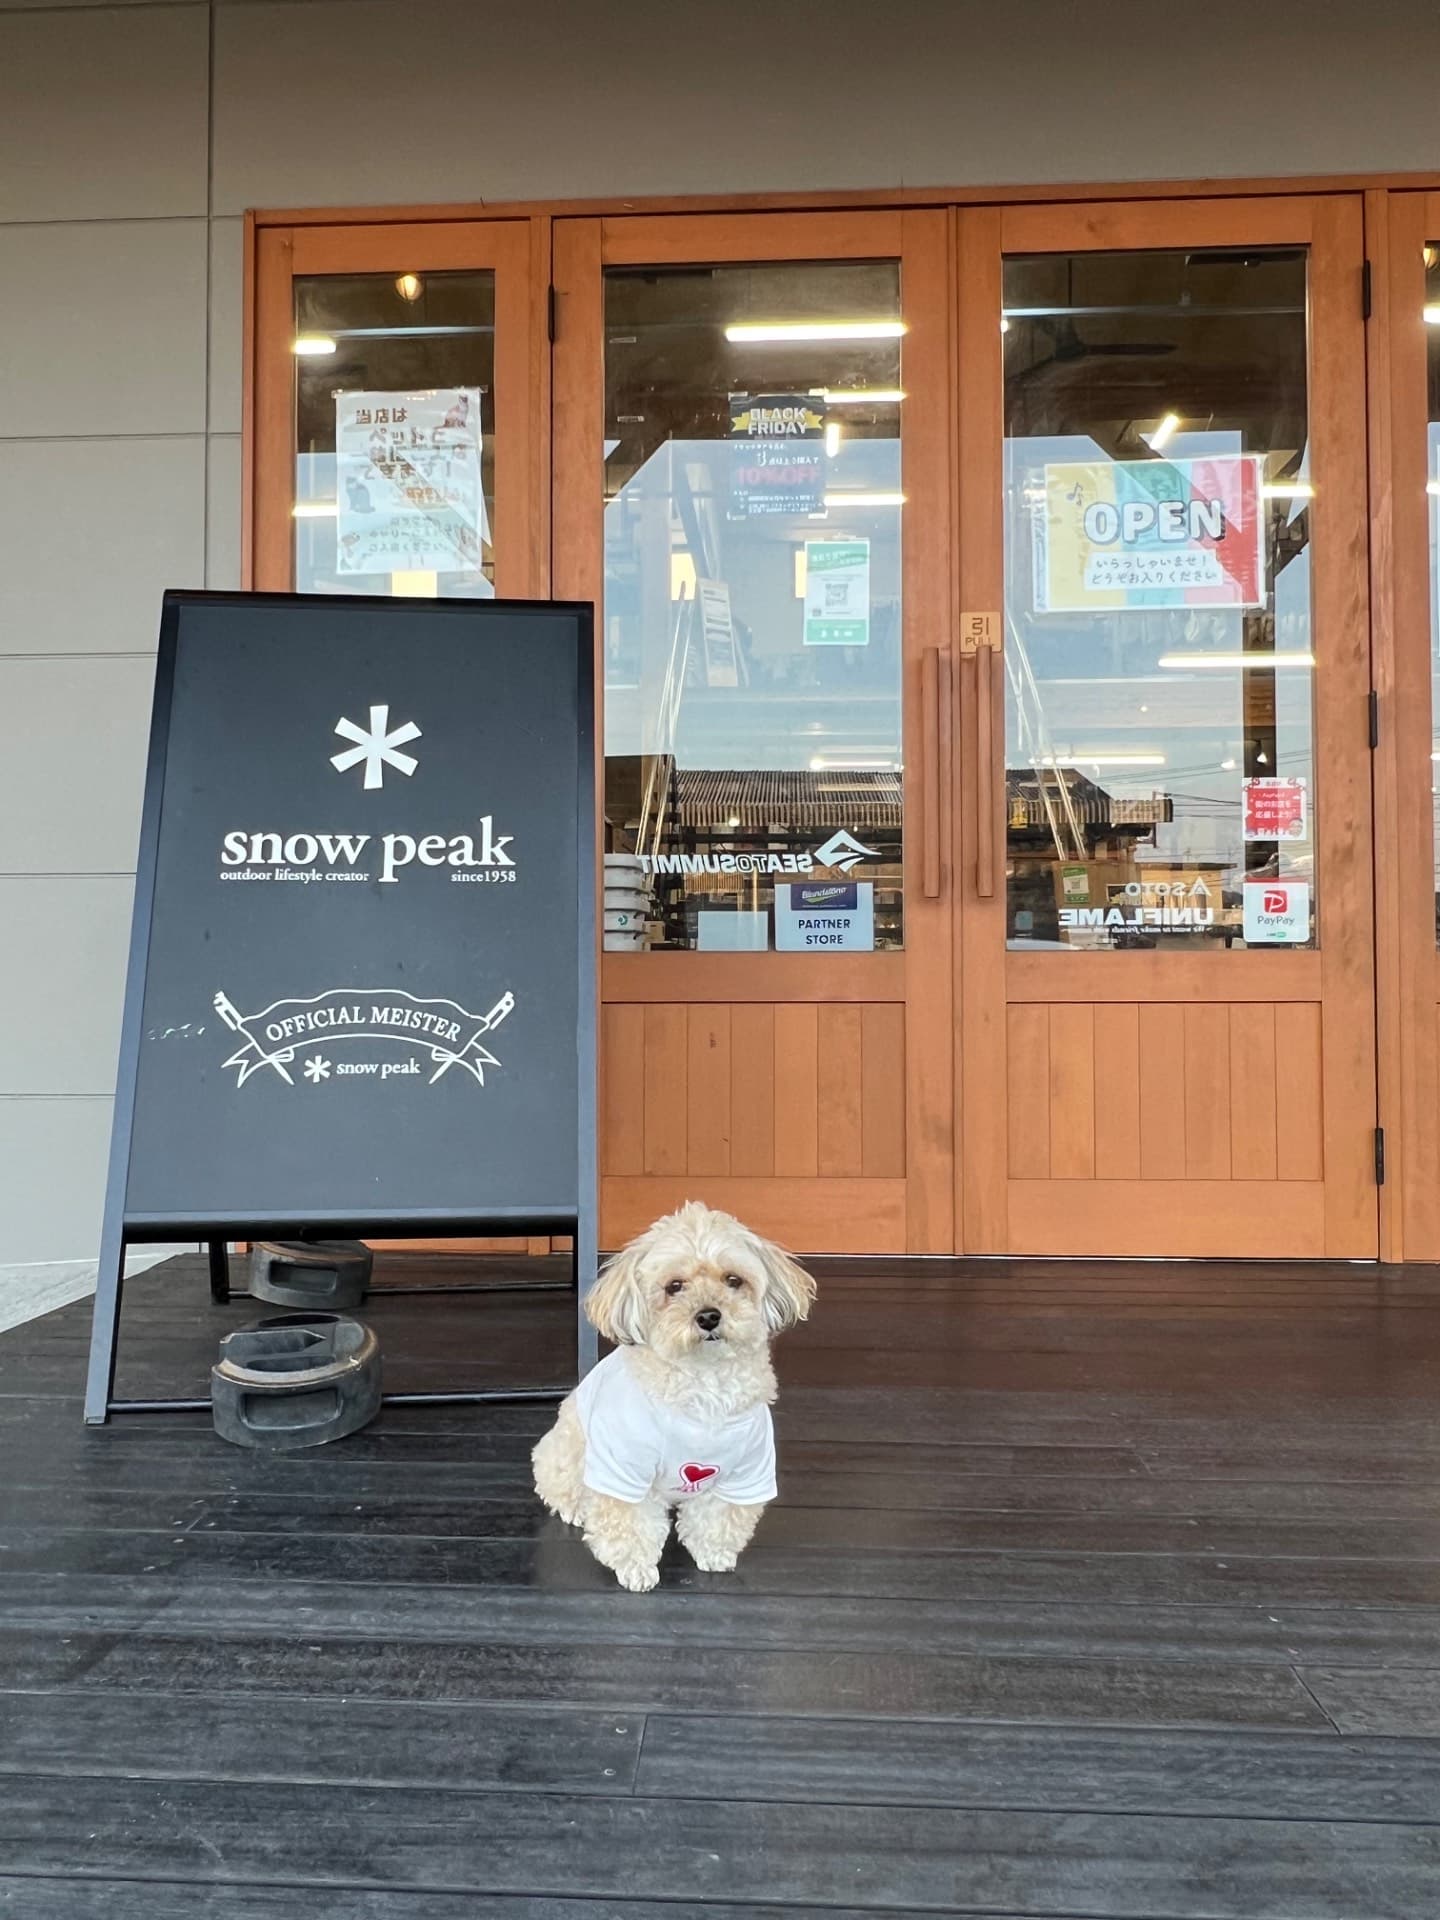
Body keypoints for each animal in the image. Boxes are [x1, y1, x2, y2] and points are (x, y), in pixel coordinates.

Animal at [532, 1202, 815, 1592]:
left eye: (733, 1280)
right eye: (674, 1286)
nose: (708, 1316)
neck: (704, 1388)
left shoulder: (746, 1471)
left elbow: (719, 1517)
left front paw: (714, 1553)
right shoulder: (624, 1469)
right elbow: (629, 1522)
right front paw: (636, 1569)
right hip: (568, 1453)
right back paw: (574, 1508)